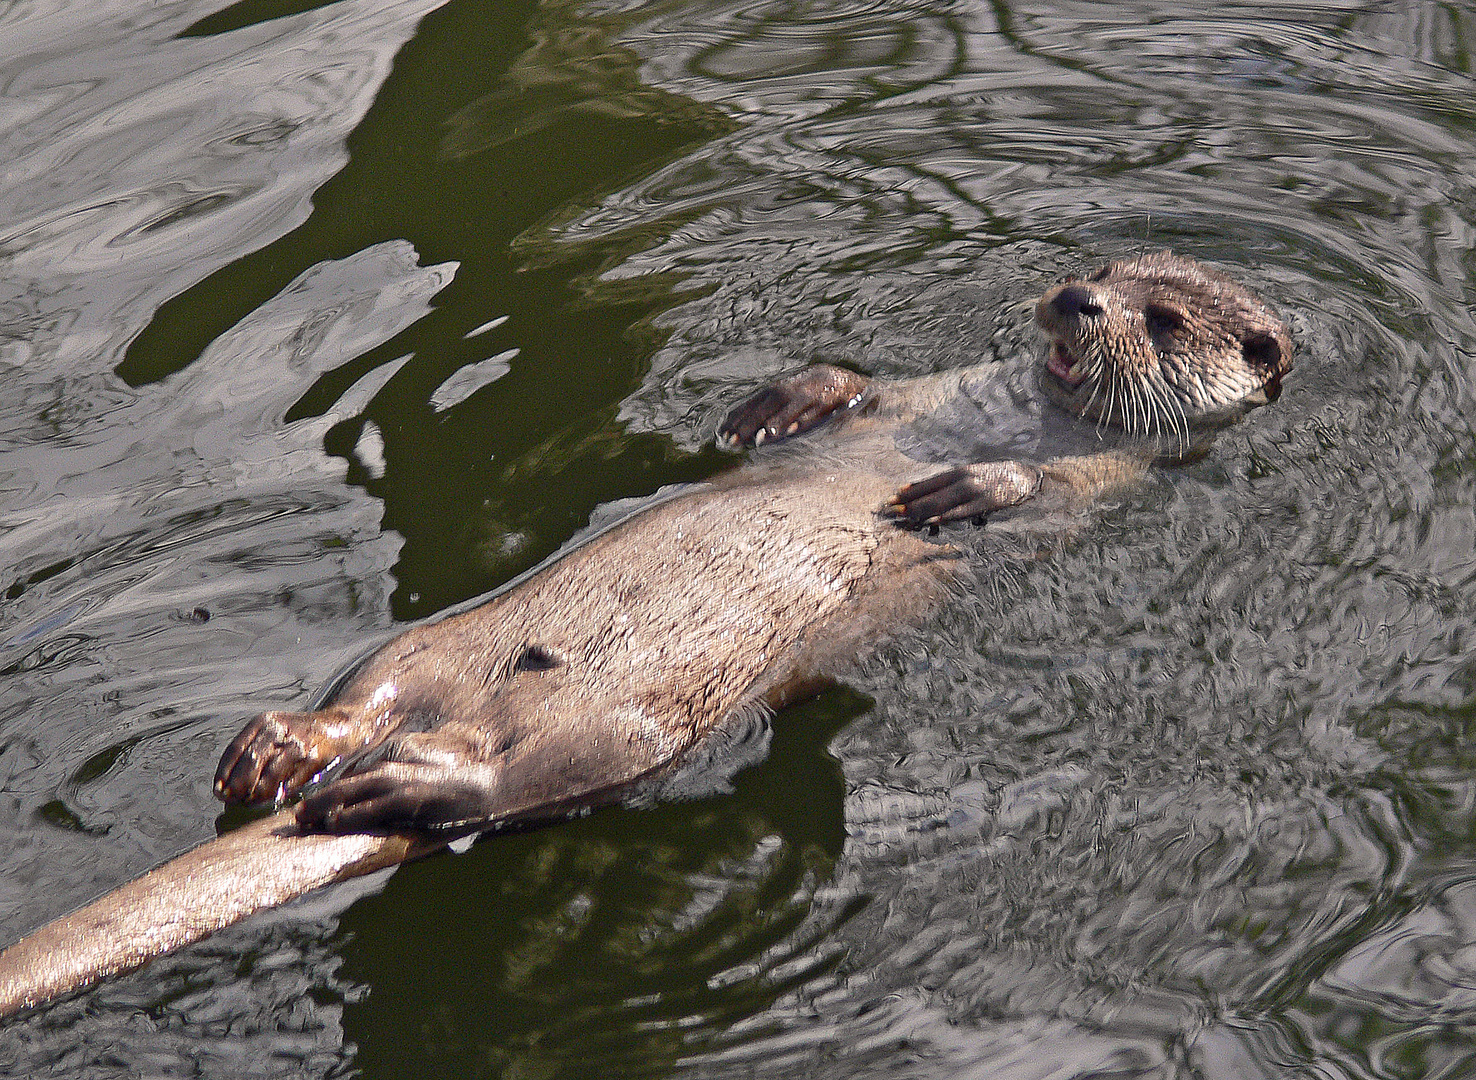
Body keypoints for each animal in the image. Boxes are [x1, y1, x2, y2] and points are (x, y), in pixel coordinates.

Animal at [0, 255, 1287, 1020]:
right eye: (1097, 269)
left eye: (1164, 316)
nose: (1076, 304)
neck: (1008, 412)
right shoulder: (917, 391)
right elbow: (850, 382)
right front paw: (771, 405)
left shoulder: (1120, 482)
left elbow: (1040, 497)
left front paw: (957, 493)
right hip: (440, 644)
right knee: (372, 690)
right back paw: (278, 750)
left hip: (649, 731)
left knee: (525, 781)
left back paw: (392, 790)